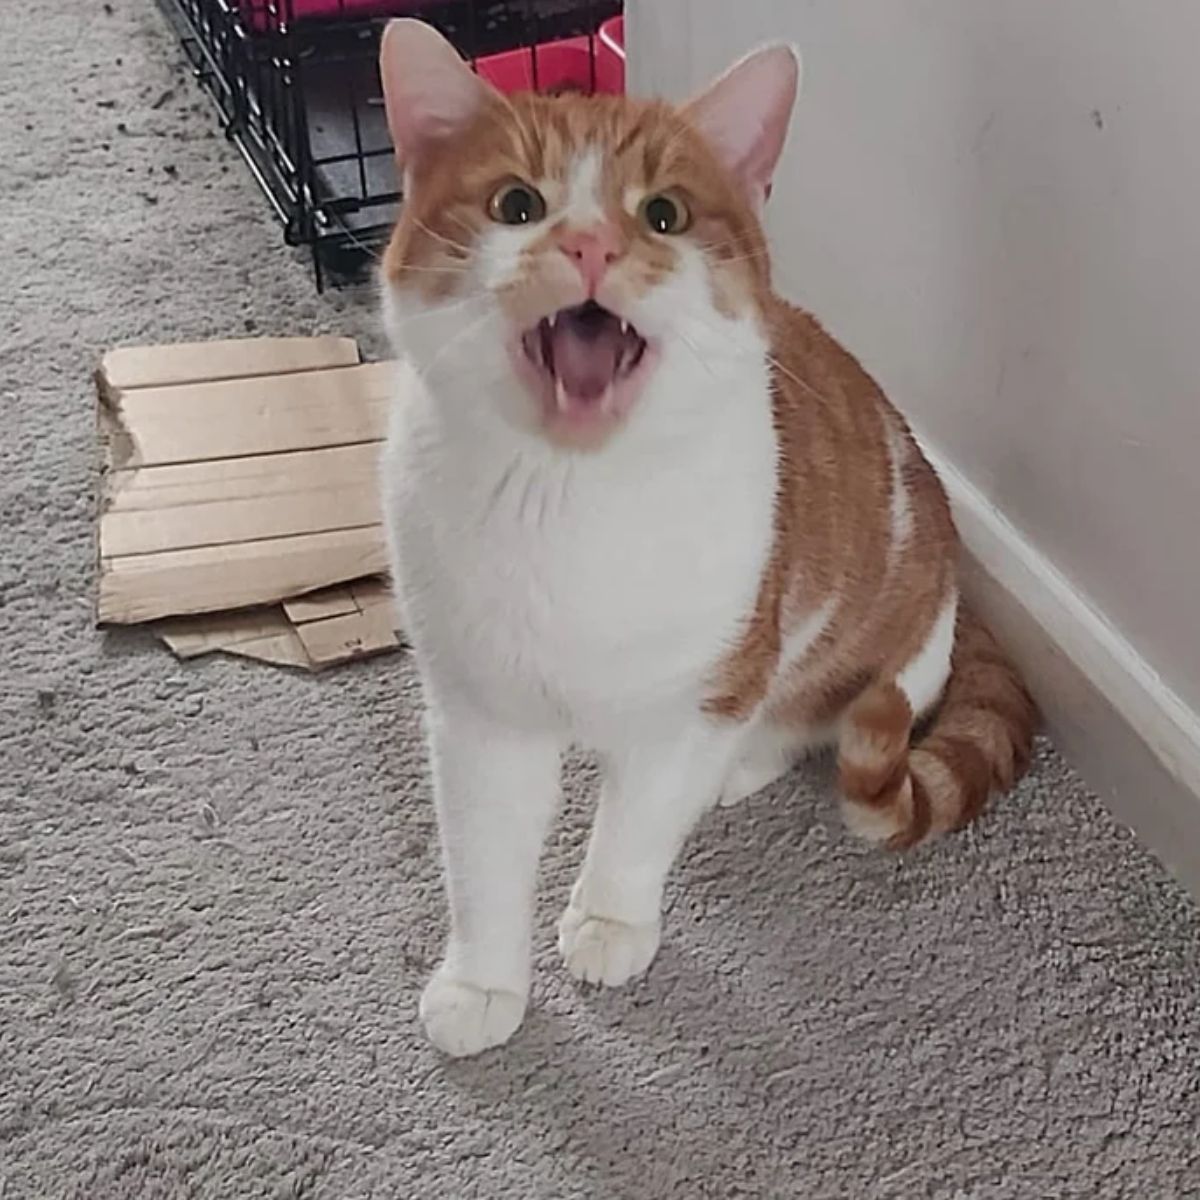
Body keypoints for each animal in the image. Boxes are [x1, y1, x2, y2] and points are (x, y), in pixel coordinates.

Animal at [379, 14, 1036, 1056]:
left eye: (664, 216)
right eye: (519, 204)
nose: (591, 245)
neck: (572, 500)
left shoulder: (699, 693)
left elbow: (637, 826)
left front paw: (609, 919)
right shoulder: (480, 714)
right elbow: (483, 861)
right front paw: (484, 984)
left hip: (870, 657)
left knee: (809, 718)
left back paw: (740, 768)